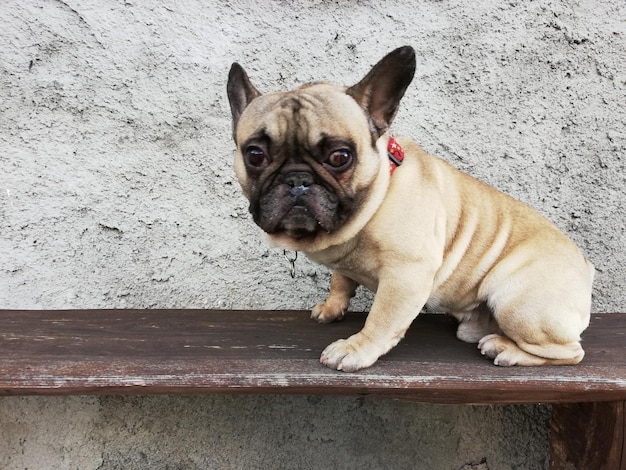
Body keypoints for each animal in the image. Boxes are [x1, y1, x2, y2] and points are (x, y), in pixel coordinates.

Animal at [227, 46, 592, 370]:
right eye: (255, 155)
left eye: (340, 156)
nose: (297, 180)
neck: (371, 206)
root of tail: (586, 268)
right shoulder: (347, 262)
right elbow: (340, 281)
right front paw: (332, 308)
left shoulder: (406, 276)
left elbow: (381, 318)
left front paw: (355, 349)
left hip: (517, 300)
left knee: (569, 353)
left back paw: (506, 349)